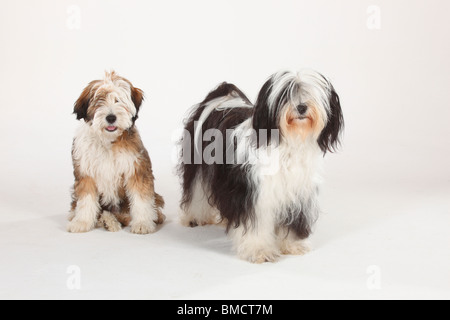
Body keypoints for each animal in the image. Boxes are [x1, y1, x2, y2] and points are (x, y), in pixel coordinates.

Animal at [67, 71, 164, 234]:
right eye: (99, 101)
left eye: (119, 100)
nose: (111, 117)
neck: (108, 140)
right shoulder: (85, 173)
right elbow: (86, 200)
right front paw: (82, 222)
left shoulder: (136, 169)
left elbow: (141, 199)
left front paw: (143, 223)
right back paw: (106, 220)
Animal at [178, 70, 342, 262]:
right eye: (285, 95)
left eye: (309, 93)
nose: (301, 107)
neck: (288, 144)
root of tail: (221, 98)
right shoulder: (255, 194)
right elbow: (256, 225)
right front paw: (259, 250)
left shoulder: (298, 194)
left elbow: (293, 222)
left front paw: (293, 245)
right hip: (199, 165)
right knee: (196, 190)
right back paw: (195, 218)